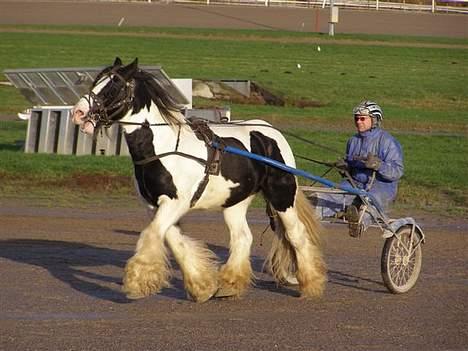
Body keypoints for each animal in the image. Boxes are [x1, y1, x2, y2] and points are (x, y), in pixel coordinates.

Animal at [72, 57, 326, 302]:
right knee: (242, 238)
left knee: (297, 235)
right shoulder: (155, 207)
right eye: (96, 82)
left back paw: (311, 284)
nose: (78, 112)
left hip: (282, 196)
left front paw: (138, 283)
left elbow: (152, 234)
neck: (163, 148)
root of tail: (270, 132)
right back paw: (229, 285)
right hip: (234, 202)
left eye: (113, 85)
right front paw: (202, 286)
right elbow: (174, 242)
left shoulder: (175, 203)